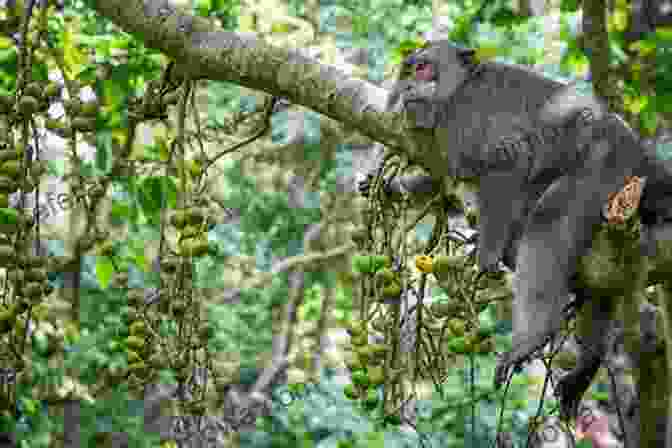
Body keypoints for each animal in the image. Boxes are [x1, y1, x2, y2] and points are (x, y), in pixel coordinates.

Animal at [360, 39, 672, 420]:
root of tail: (644, 157)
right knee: (604, 277)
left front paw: (487, 254)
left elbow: (509, 160)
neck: (461, 87)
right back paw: (587, 362)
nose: (407, 87)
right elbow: (446, 183)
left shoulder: (464, 118)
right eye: (406, 71)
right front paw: (391, 188)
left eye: (422, 68)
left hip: (605, 165)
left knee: (550, 219)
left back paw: (531, 337)